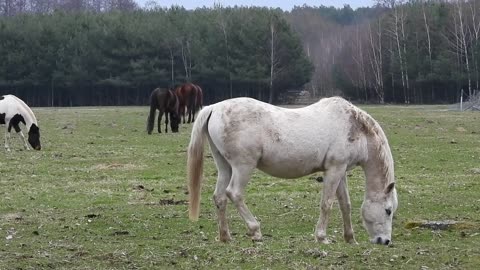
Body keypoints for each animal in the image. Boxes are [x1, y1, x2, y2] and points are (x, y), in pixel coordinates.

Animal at [188, 96, 398, 245]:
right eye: (388, 211)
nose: (385, 241)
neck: (355, 127)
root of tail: (214, 107)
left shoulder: (340, 171)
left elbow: (344, 204)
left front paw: (350, 238)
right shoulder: (334, 170)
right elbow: (327, 204)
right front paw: (321, 237)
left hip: (225, 167)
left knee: (220, 197)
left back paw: (225, 236)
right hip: (243, 167)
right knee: (234, 193)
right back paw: (255, 230)